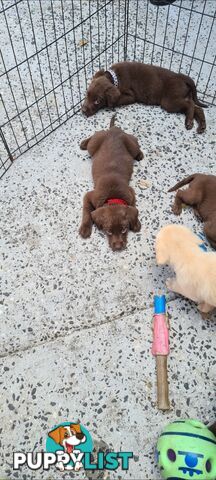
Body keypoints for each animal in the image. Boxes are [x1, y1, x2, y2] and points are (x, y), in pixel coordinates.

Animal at [79, 116, 143, 251]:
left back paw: (140, 154)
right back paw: (83, 143)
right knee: (95, 135)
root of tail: (114, 130)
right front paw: (85, 228)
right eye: (108, 231)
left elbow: (133, 206)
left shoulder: (131, 192)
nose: (118, 247)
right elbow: (87, 212)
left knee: (135, 141)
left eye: (124, 230)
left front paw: (136, 223)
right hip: (93, 145)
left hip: (131, 145)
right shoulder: (89, 196)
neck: (113, 196)